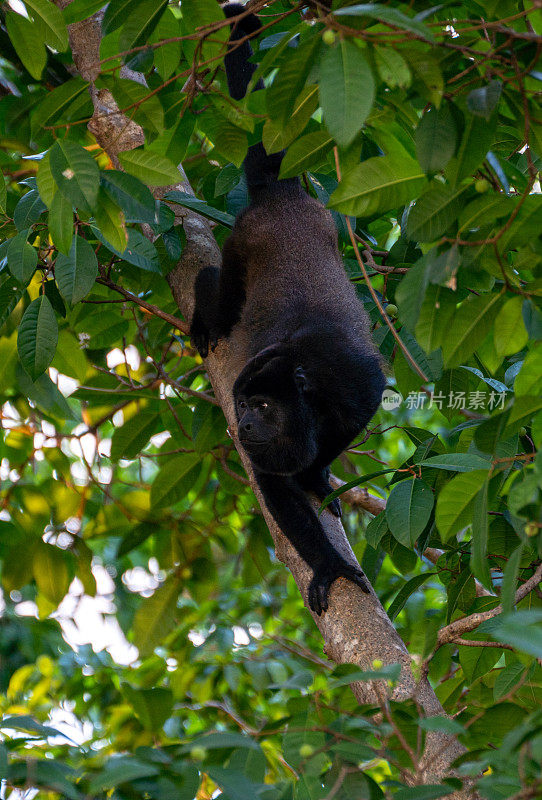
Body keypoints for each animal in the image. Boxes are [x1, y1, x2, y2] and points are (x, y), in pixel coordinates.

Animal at [191, 1, 386, 620]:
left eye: (260, 405)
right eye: (242, 406)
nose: (244, 425)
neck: (307, 387)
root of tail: (280, 196)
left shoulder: (356, 384)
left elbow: (348, 426)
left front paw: (318, 475)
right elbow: (274, 485)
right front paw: (327, 564)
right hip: (242, 240)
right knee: (224, 296)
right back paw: (203, 303)